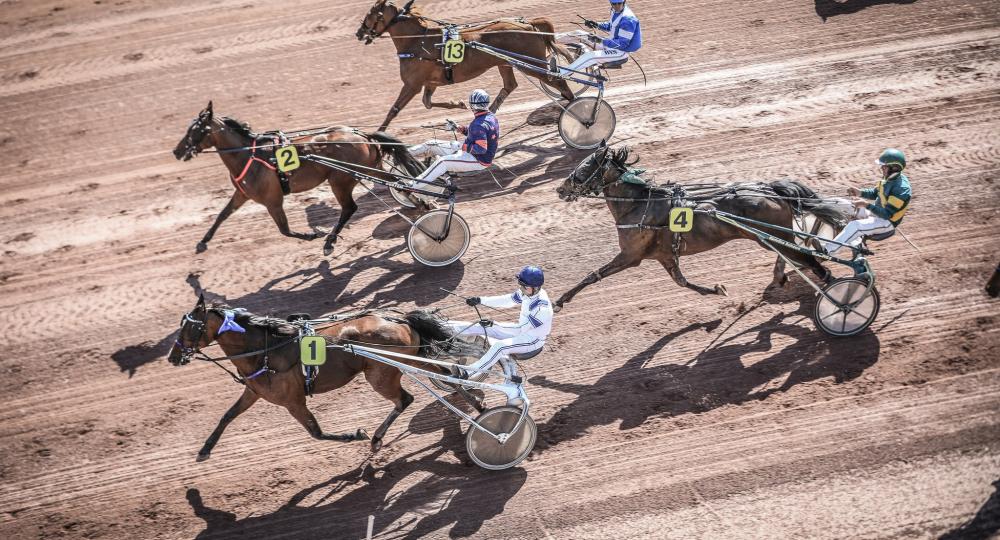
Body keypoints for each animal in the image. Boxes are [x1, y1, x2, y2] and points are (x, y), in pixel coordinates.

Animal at [166, 296, 458, 460]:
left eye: (190, 327)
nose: (172, 356)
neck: (267, 351)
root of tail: (397, 318)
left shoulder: (293, 401)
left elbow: (316, 433)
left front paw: (356, 434)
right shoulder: (254, 392)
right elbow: (227, 416)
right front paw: (205, 449)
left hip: (382, 374)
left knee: (404, 399)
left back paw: (375, 437)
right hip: (408, 359)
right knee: (444, 373)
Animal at [172, 103, 422, 255]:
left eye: (195, 130)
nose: (176, 151)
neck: (249, 155)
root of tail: (362, 135)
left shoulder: (273, 200)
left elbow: (284, 230)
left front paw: (312, 234)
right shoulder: (242, 194)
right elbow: (222, 215)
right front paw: (203, 241)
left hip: (340, 180)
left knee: (349, 208)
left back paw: (329, 241)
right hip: (370, 168)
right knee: (397, 181)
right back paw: (421, 202)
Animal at [358, 0, 580, 131]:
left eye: (370, 14)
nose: (359, 33)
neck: (417, 42)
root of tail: (528, 24)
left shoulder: (412, 84)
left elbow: (394, 110)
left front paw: (377, 136)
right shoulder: (431, 82)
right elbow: (427, 103)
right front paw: (458, 104)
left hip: (529, 63)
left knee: (557, 80)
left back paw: (575, 109)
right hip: (505, 63)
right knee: (510, 85)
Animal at [552, 146, 848, 312]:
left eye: (583, 169)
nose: (560, 189)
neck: (638, 205)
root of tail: (769, 189)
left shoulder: (630, 256)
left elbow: (592, 276)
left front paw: (561, 300)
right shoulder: (665, 256)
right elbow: (682, 282)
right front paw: (717, 290)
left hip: (773, 235)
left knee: (805, 258)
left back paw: (835, 293)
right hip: (771, 236)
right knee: (792, 255)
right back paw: (781, 278)